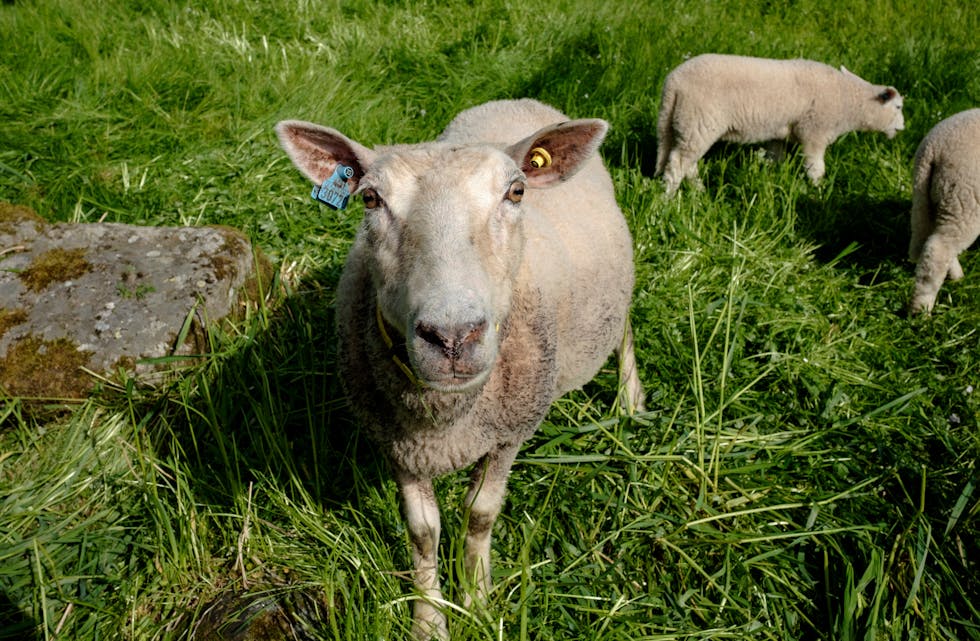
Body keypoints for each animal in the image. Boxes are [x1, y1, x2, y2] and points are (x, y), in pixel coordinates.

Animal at [276, 97, 648, 636]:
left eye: (516, 191)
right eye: (370, 199)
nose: (452, 337)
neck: (447, 421)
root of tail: (518, 101)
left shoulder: (509, 433)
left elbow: (479, 515)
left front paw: (476, 600)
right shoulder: (398, 443)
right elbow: (422, 532)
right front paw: (430, 618)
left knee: (623, 329)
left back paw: (630, 399)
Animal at [656, 52, 908, 195]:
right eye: (898, 107)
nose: (903, 128)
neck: (847, 100)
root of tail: (673, 84)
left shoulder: (780, 133)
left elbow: (775, 158)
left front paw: (770, 179)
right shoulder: (814, 132)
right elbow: (816, 168)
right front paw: (818, 191)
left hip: (682, 123)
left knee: (685, 161)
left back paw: (698, 191)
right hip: (699, 121)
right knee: (678, 163)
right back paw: (668, 198)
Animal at [908, 109, 980, 316]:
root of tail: (932, 148)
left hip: (932, 198)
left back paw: (956, 276)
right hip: (964, 200)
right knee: (938, 249)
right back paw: (921, 310)